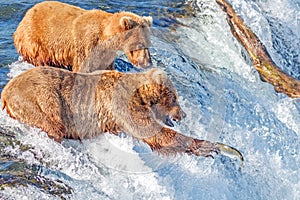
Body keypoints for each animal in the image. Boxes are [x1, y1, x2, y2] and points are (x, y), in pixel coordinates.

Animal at [13, 0, 152, 72]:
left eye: (148, 44)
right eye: (140, 44)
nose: (147, 63)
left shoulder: (105, 54)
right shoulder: (86, 45)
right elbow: (83, 67)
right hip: (36, 40)